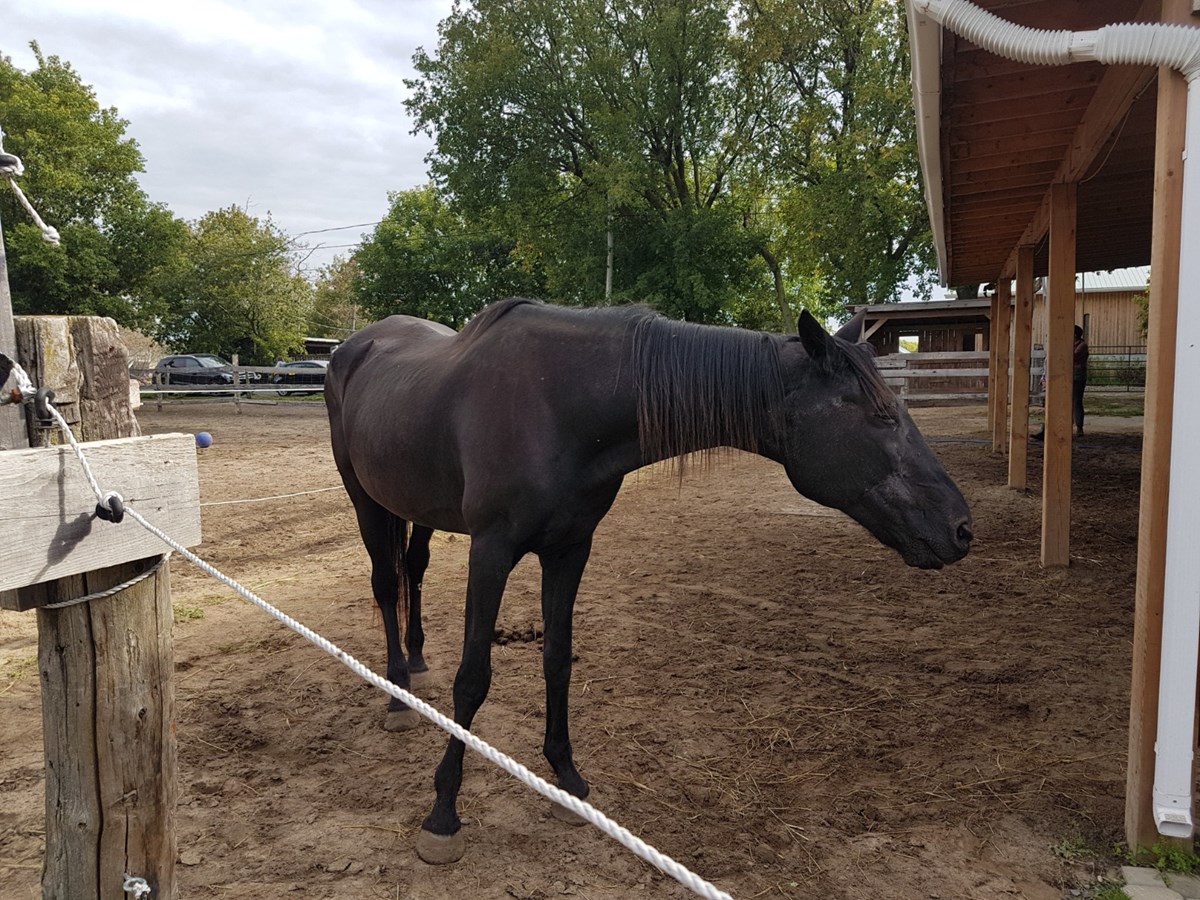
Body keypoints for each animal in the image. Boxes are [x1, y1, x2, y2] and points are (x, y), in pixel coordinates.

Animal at [325, 297, 972, 863]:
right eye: (882, 415)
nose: (961, 529)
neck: (558, 403)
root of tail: (355, 346)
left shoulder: (570, 550)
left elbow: (557, 659)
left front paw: (567, 780)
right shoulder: (491, 552)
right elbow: (473, 679)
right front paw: (443, 814)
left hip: (416, 506)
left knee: (412, 572)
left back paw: (416, 665)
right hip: (365, 501)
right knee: (385, 584)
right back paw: (396, 692)